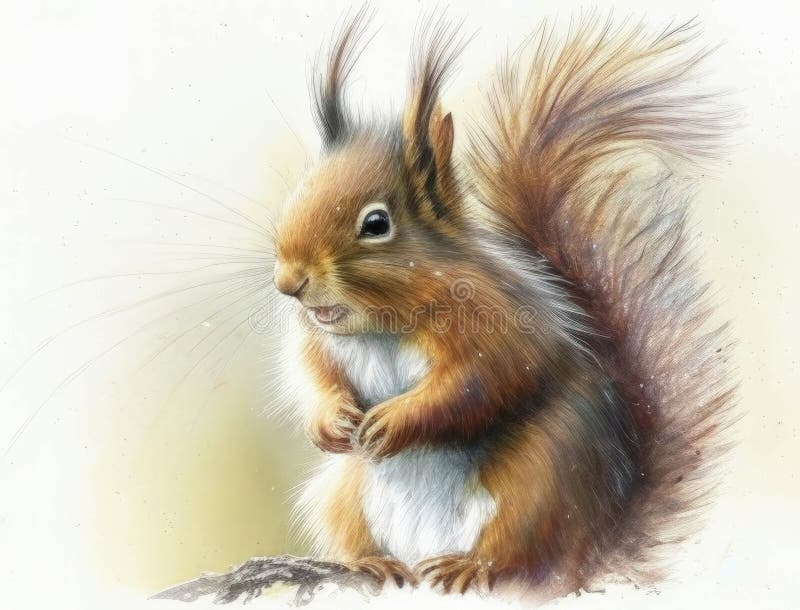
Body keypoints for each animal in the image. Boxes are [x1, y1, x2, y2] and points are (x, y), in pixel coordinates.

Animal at [271, 11, 734, 597]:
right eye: (298, 192)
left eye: (376, 223)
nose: (288, 282)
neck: (385, 324)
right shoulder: (319, 341)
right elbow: (315, 373)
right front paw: (330, 421)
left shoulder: (498, 328)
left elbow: (478, 385)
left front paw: (395, 421)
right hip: (345, 494)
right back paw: (371, 564)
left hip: (536, 483)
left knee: (515, 550)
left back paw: (470, 566)